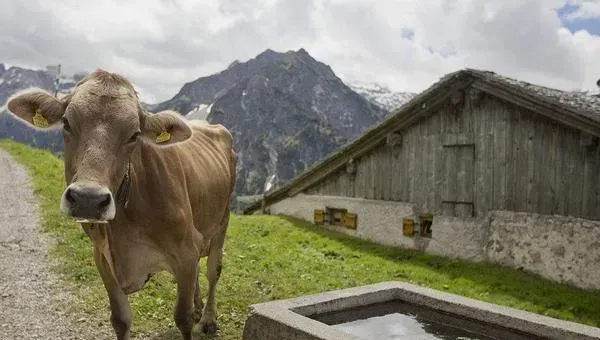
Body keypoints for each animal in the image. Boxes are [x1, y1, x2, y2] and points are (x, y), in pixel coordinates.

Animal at [6, 69, 239, 340]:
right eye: (66, 123)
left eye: (134, 134)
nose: (88, 198)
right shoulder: (103, 258)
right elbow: (121, 319)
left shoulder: (186, 252)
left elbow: (183, 318)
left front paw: (195, 316)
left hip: (223, 219)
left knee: (213, 269)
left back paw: (209, 318)